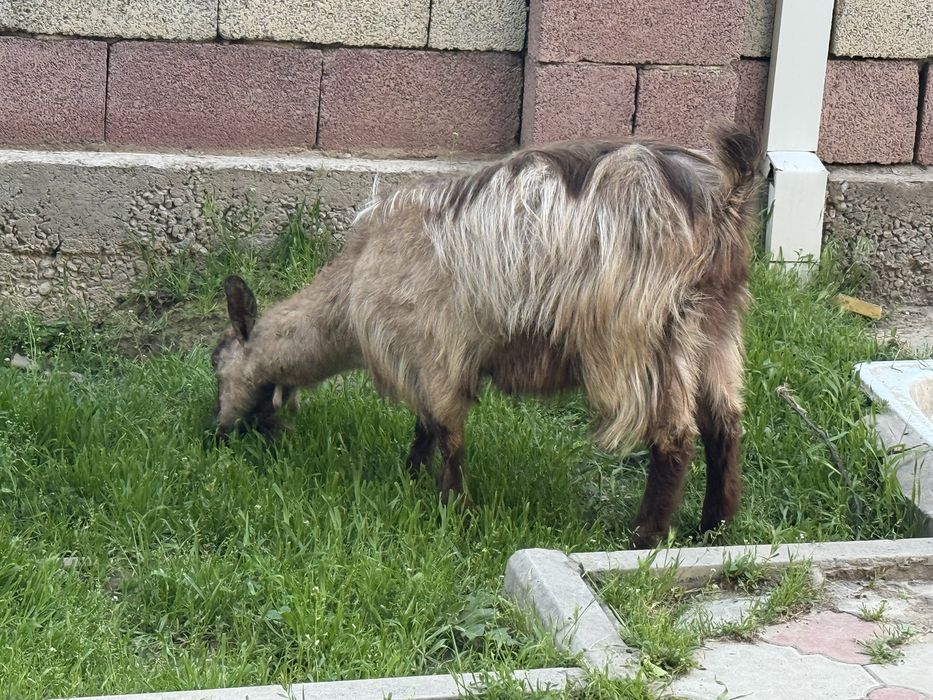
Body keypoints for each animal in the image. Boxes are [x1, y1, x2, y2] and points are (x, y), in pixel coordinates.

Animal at [210, 124, 762, 548]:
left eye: (217, 363)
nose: (215, 433)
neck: (353, 284)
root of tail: (724, 199)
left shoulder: (435, 347)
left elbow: (447, 431)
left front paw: (453, 508)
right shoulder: (430, 356)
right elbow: (425, 426)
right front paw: (411, 474)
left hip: (644, 333)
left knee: (675, 436)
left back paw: (644, 538)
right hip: (716, 326)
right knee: (725, 426)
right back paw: (714, 528)